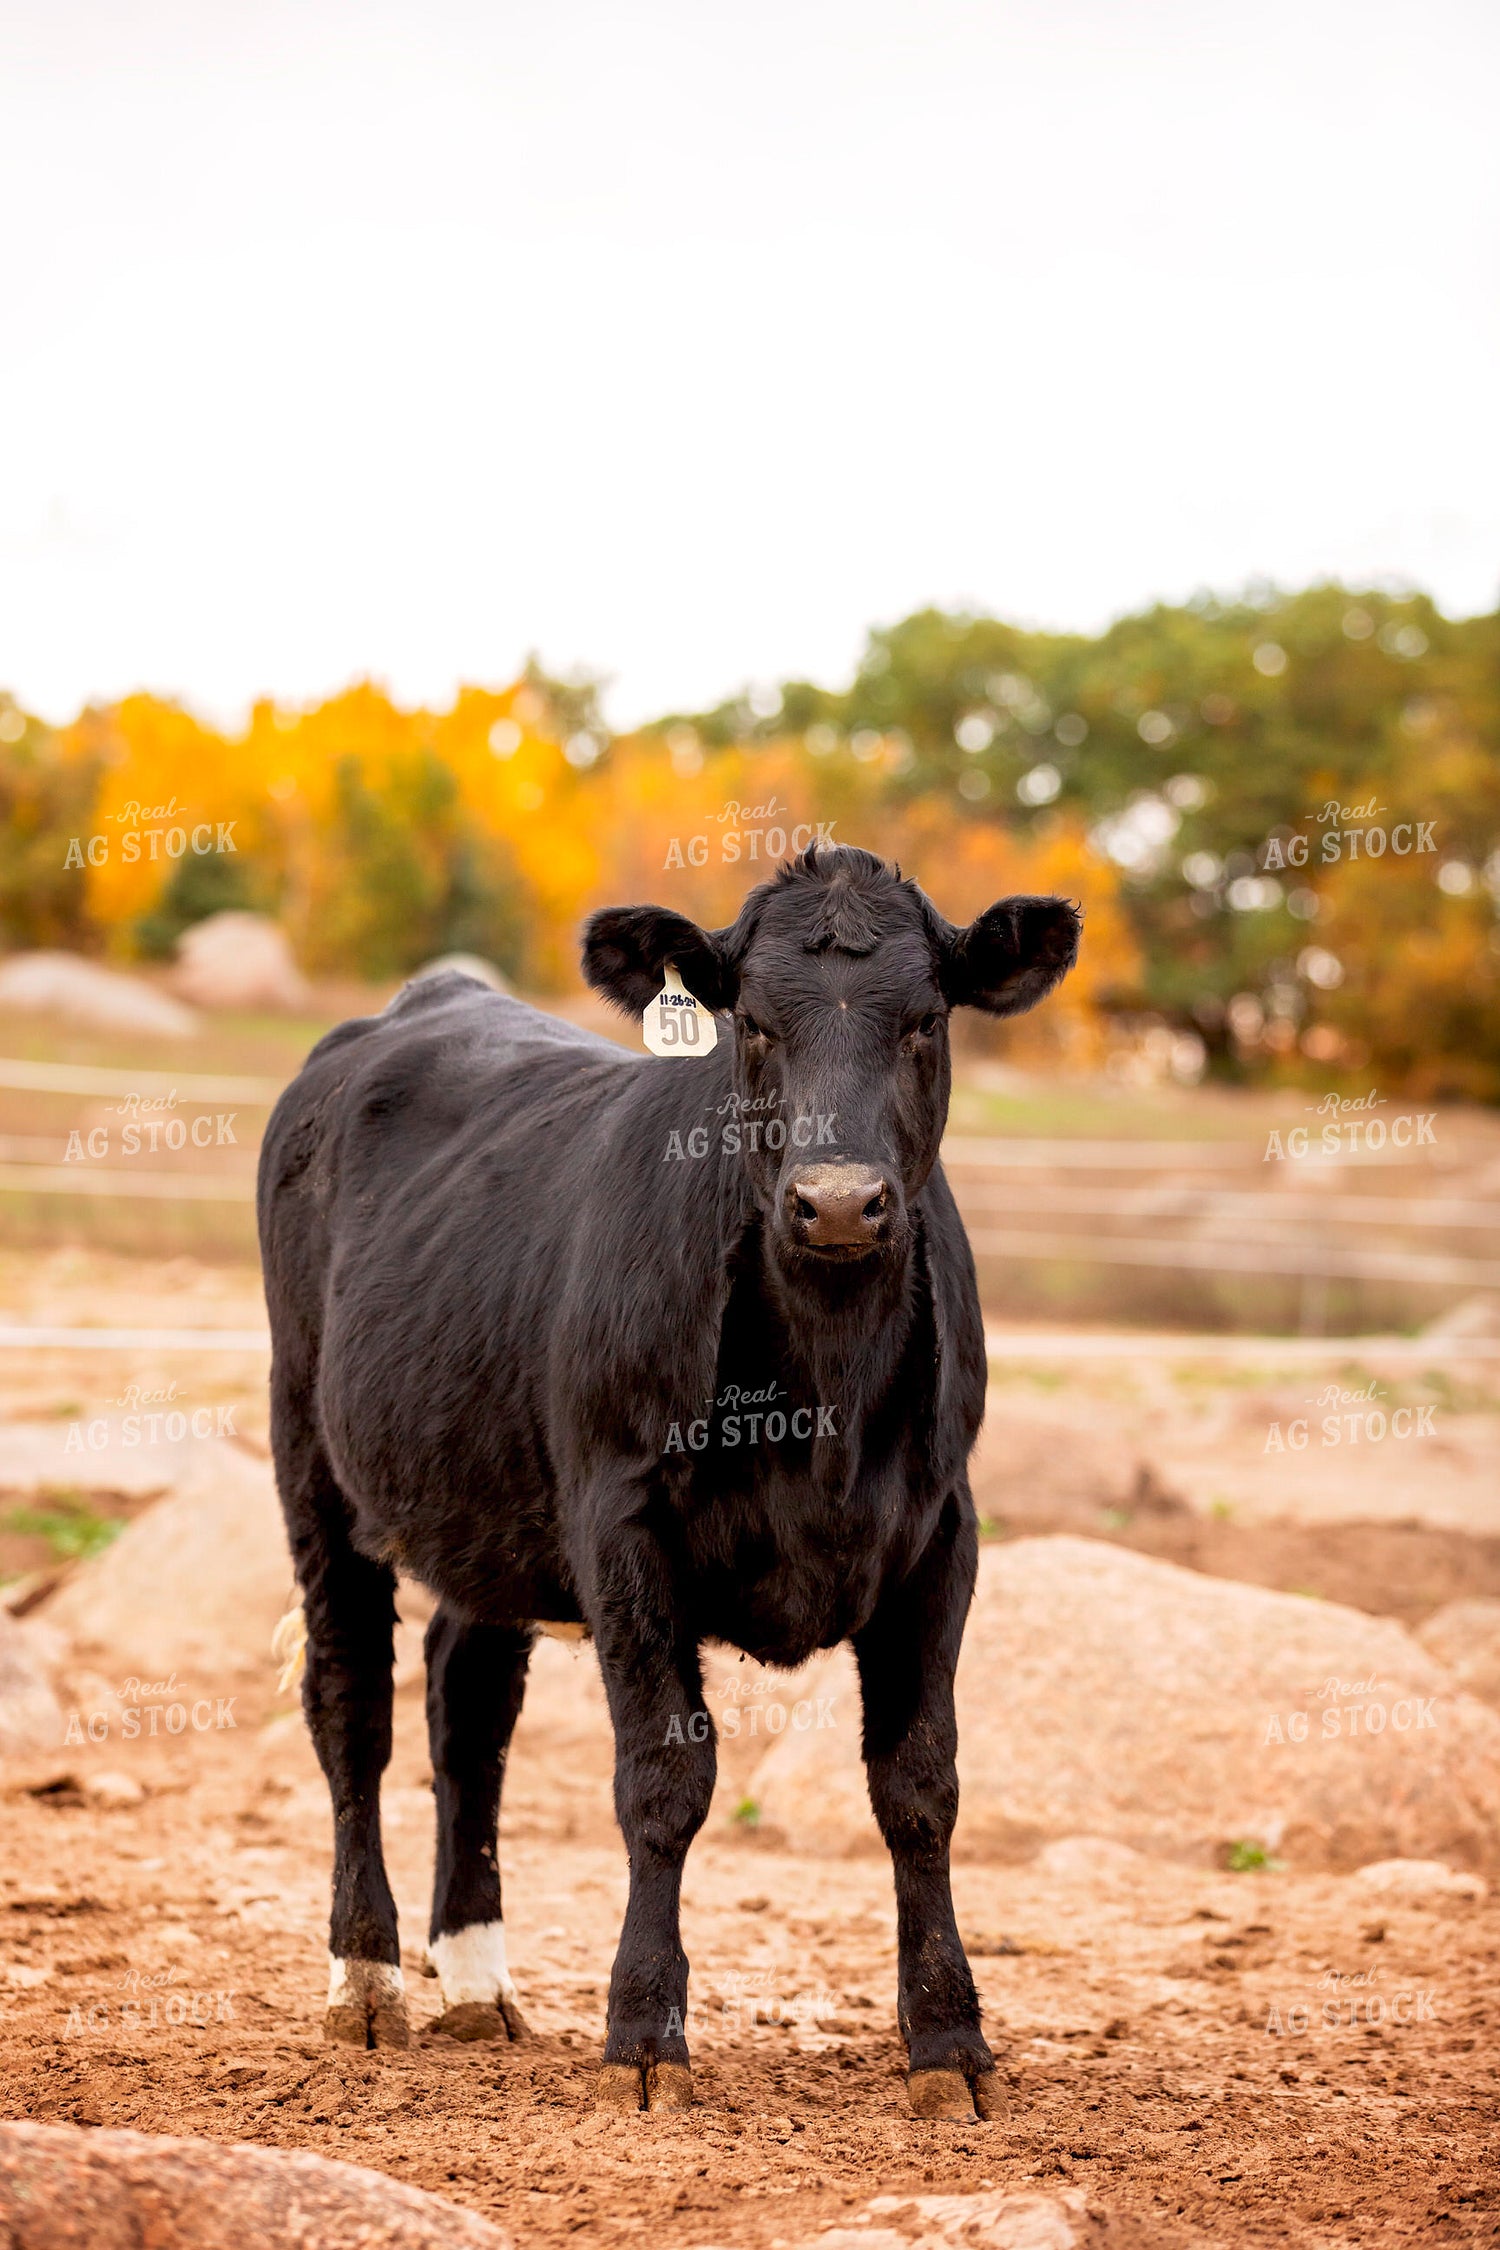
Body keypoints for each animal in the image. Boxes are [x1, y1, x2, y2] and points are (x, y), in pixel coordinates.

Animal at [257, 843, 1080, 2121]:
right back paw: (369, 1981)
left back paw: (476, 1981)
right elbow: (664, 1777)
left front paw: (950, 2043)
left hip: (490, 1498)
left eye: (928, 1020)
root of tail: (424, 1004)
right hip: (312, 1451)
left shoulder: (942, 1534)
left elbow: (919, 1784)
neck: (823, 1398)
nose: (837, 1202)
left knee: (466, 1705)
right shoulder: (622, 1524)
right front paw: (645, 2036)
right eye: (754, 1025)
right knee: (352, 1704)